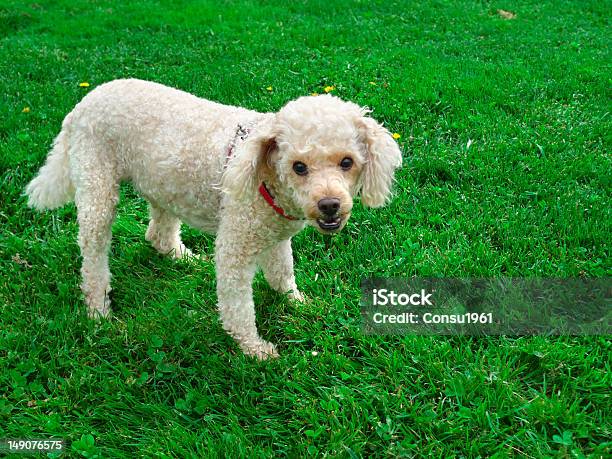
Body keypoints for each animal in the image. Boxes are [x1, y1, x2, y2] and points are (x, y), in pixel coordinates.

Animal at [25, 80, 402, 360]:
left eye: (347, 162)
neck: (265, 176)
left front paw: (298, 303)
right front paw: (254, 349)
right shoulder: (236, 246)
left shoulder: (276, 235)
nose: (329, 206)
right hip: (97, 188)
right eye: (299, 167)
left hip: (162, 181)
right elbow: (238, 308)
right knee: (93, 255)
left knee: (157, 233)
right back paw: (99, 310)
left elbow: (282, 273)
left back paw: (182, 257)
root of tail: (83, 102)